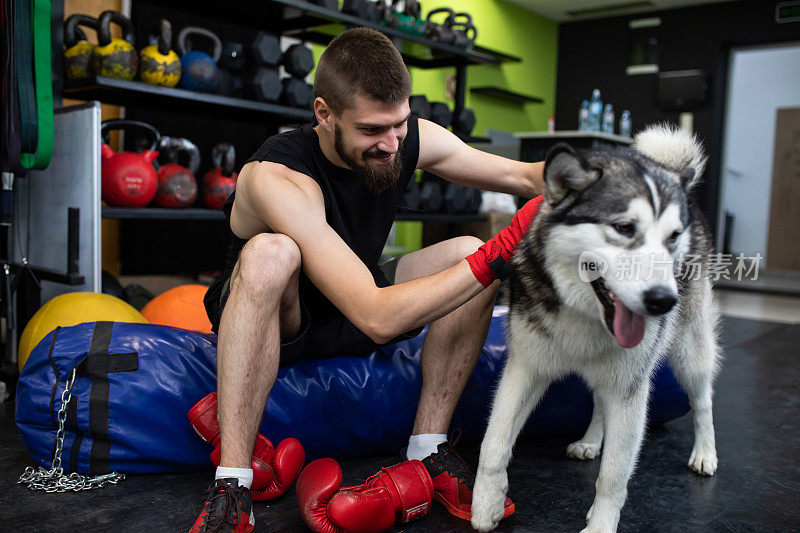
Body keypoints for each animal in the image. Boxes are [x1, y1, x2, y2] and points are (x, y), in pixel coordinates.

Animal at [472, 125, 720, 532]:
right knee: (601, 402)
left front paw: (601, 523)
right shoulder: (525, 367)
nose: (664, 301)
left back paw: (705, 452)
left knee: (702, 401)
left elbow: (614, 475)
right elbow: (494, 439)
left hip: (688, 353)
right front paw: (486, 503)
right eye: (624, 228)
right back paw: (591, 440)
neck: (585, 312)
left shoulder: (631, 389)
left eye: (672, 237)